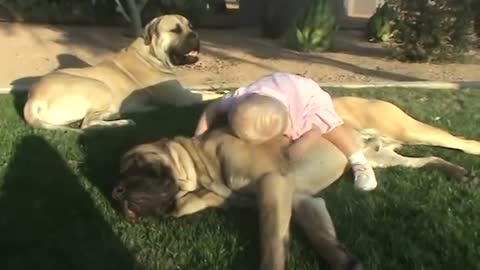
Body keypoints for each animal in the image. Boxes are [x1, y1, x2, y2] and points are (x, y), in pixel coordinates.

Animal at [23, 14, 216, 132]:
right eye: (175, 30)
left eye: (190, 26)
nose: (195, 35)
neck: (151, 54)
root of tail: (33, 98)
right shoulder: (184, 99)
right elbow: (208, 96)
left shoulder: (183, 92)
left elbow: (205, 90)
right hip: (99, 86)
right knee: (87, 124)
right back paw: (124, 122)